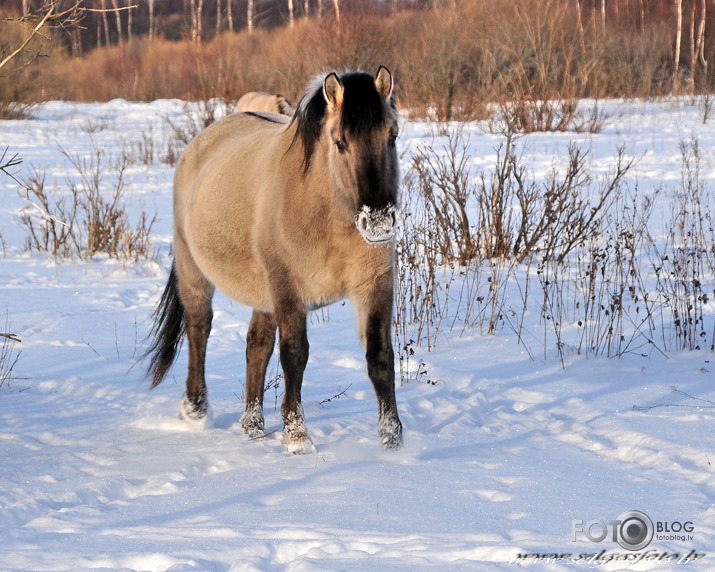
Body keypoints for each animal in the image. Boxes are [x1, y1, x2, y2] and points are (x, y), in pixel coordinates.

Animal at [145, 67, 402, 454]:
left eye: (392, 136)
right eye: (340, 142)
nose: (379, 222)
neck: (323, 210)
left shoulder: (374, 284)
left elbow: (380, 356)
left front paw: (393, 441)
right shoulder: (287, 288)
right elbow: (295, 354)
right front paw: (297, 437)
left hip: (263, 292)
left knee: (257, 345)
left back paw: (252, 425)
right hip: (194, 271)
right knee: (199, 328)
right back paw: (195, 408)